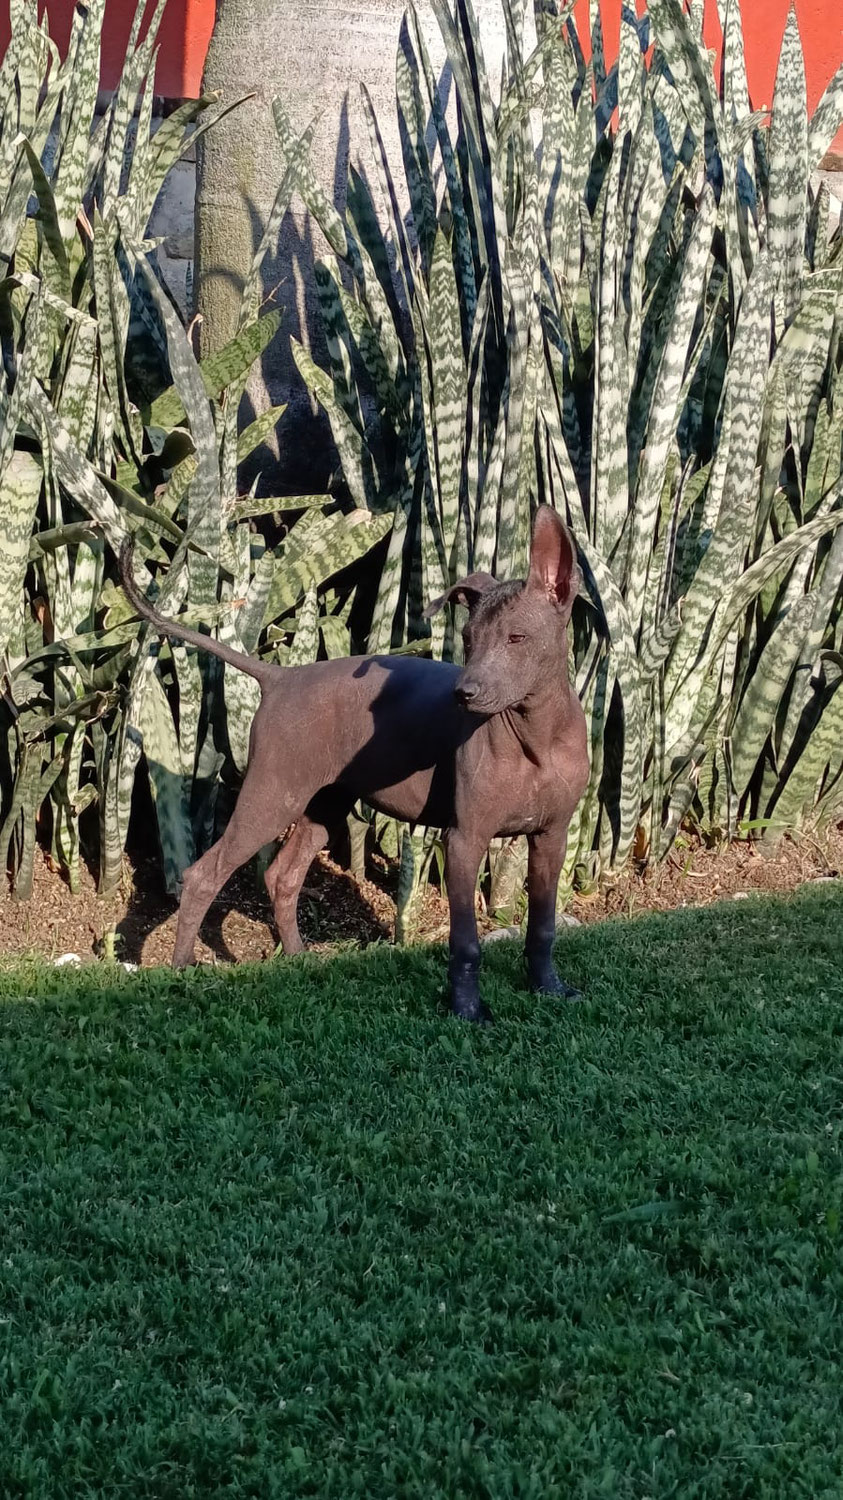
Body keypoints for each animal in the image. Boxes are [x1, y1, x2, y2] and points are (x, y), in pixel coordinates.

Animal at [121, 504, 588, 1020]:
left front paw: (549, 987)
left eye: (517, 638)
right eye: (468, 638)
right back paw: (182, 969)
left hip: (323, 805)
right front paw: (467, 1009)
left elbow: (543, 924)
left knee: (282, 876)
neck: (533, 736)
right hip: (273, 797)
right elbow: (466, 940)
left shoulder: (553, 837)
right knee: (204, 874)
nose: (464, 694)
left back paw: (298, 957)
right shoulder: (466, 839)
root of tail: (281, 677)